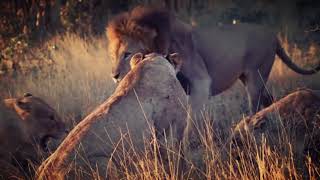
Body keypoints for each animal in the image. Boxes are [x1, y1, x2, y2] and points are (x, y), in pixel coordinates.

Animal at [105, 6, 320, 115]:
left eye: (127, 54)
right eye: (113, 56)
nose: (114, 76)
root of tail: (273, 34)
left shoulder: (202, 82)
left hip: (256, 77)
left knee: (255, 104)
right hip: (250, 78)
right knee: (269, 100)